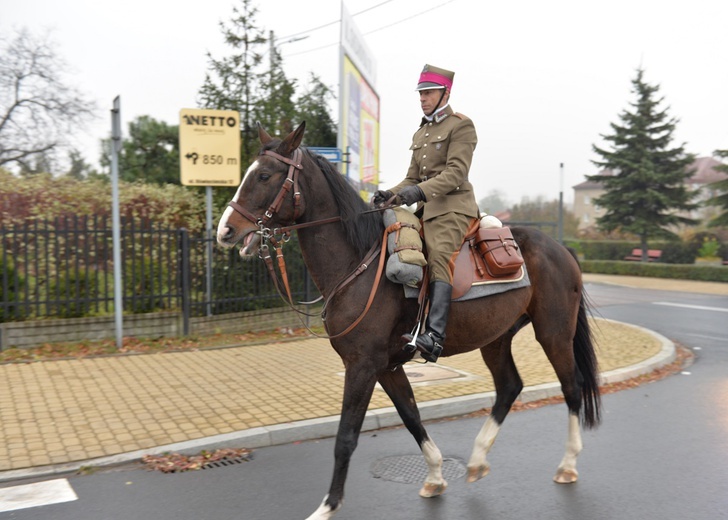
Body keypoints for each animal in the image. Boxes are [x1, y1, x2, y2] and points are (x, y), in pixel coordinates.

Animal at [218, 123, 604, 520]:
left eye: (264, 175)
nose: (226, 231)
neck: (360, 262)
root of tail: (559, 247)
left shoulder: (362, 365)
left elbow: (346, 437)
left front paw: (328, 505)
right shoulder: (386, 367)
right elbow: (411, 417)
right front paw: (434, 476)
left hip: (553, 333)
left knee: (572, 386)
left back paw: (567, 464)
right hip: (496, 339)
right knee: (510, 387)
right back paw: (477, 460)